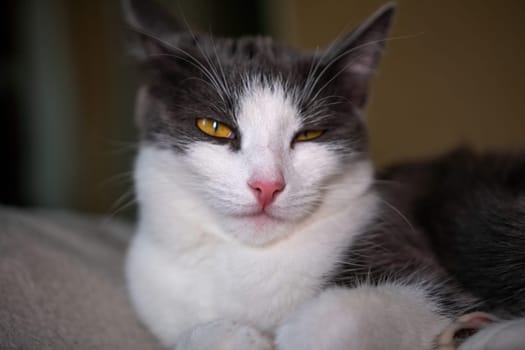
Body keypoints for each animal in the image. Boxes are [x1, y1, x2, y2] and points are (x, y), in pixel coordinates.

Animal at [121, 1, 520, 348]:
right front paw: (232, 336)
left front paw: (286, 336)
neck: (249, 259)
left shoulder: (418, 265)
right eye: (214, 127)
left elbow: (351, 313)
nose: (267, 185)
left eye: (310, 134)